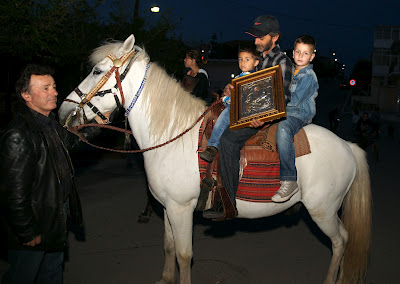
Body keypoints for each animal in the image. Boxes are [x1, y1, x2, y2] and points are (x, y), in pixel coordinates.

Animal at [58, 34, 372, 282]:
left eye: (97, 70)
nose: (63, 111)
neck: (172, 136)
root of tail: (348, 146)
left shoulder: (181, 209)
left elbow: (184, 255)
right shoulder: (169, 208)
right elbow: (169, 247)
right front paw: (165, 278)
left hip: (323, 211)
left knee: (341, 241)